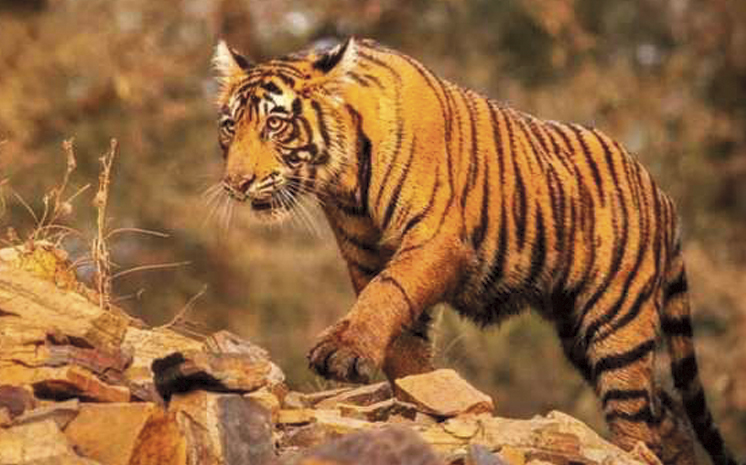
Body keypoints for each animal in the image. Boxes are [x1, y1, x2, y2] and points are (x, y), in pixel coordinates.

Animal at [211, 38, 740, 465]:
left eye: (276, 124)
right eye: (229, 127)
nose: (236, 183)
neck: (343, 183)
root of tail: (663, 195)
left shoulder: (435, 239)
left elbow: (387, 293)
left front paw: (343, 353)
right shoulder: (365, 255)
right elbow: (400, 335)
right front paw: (417, 399)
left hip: (616, 324)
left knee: (635, 416)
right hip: (578, 331)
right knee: (666, 412)